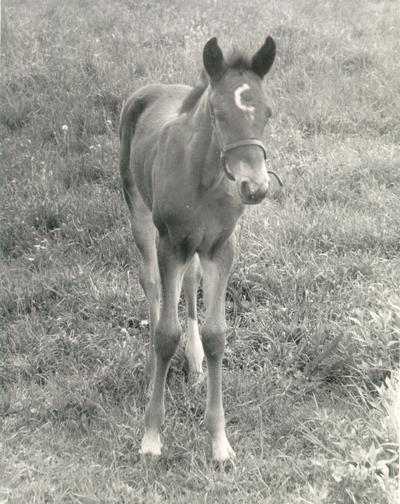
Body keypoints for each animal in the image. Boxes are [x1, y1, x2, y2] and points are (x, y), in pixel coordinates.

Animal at [119, 34, 276, 460]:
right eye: (218, 114)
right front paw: (151, 437)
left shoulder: (220, 248)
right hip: (140, 213)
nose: (255, 188)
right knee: (151, 285)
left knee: (189, 284)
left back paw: (193, 364)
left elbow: (216, 335)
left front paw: (220, 442)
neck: (205, 180)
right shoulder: (171, 243)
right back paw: (151, 368)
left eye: (268, 113)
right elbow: (165, 334)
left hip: (195, 246)